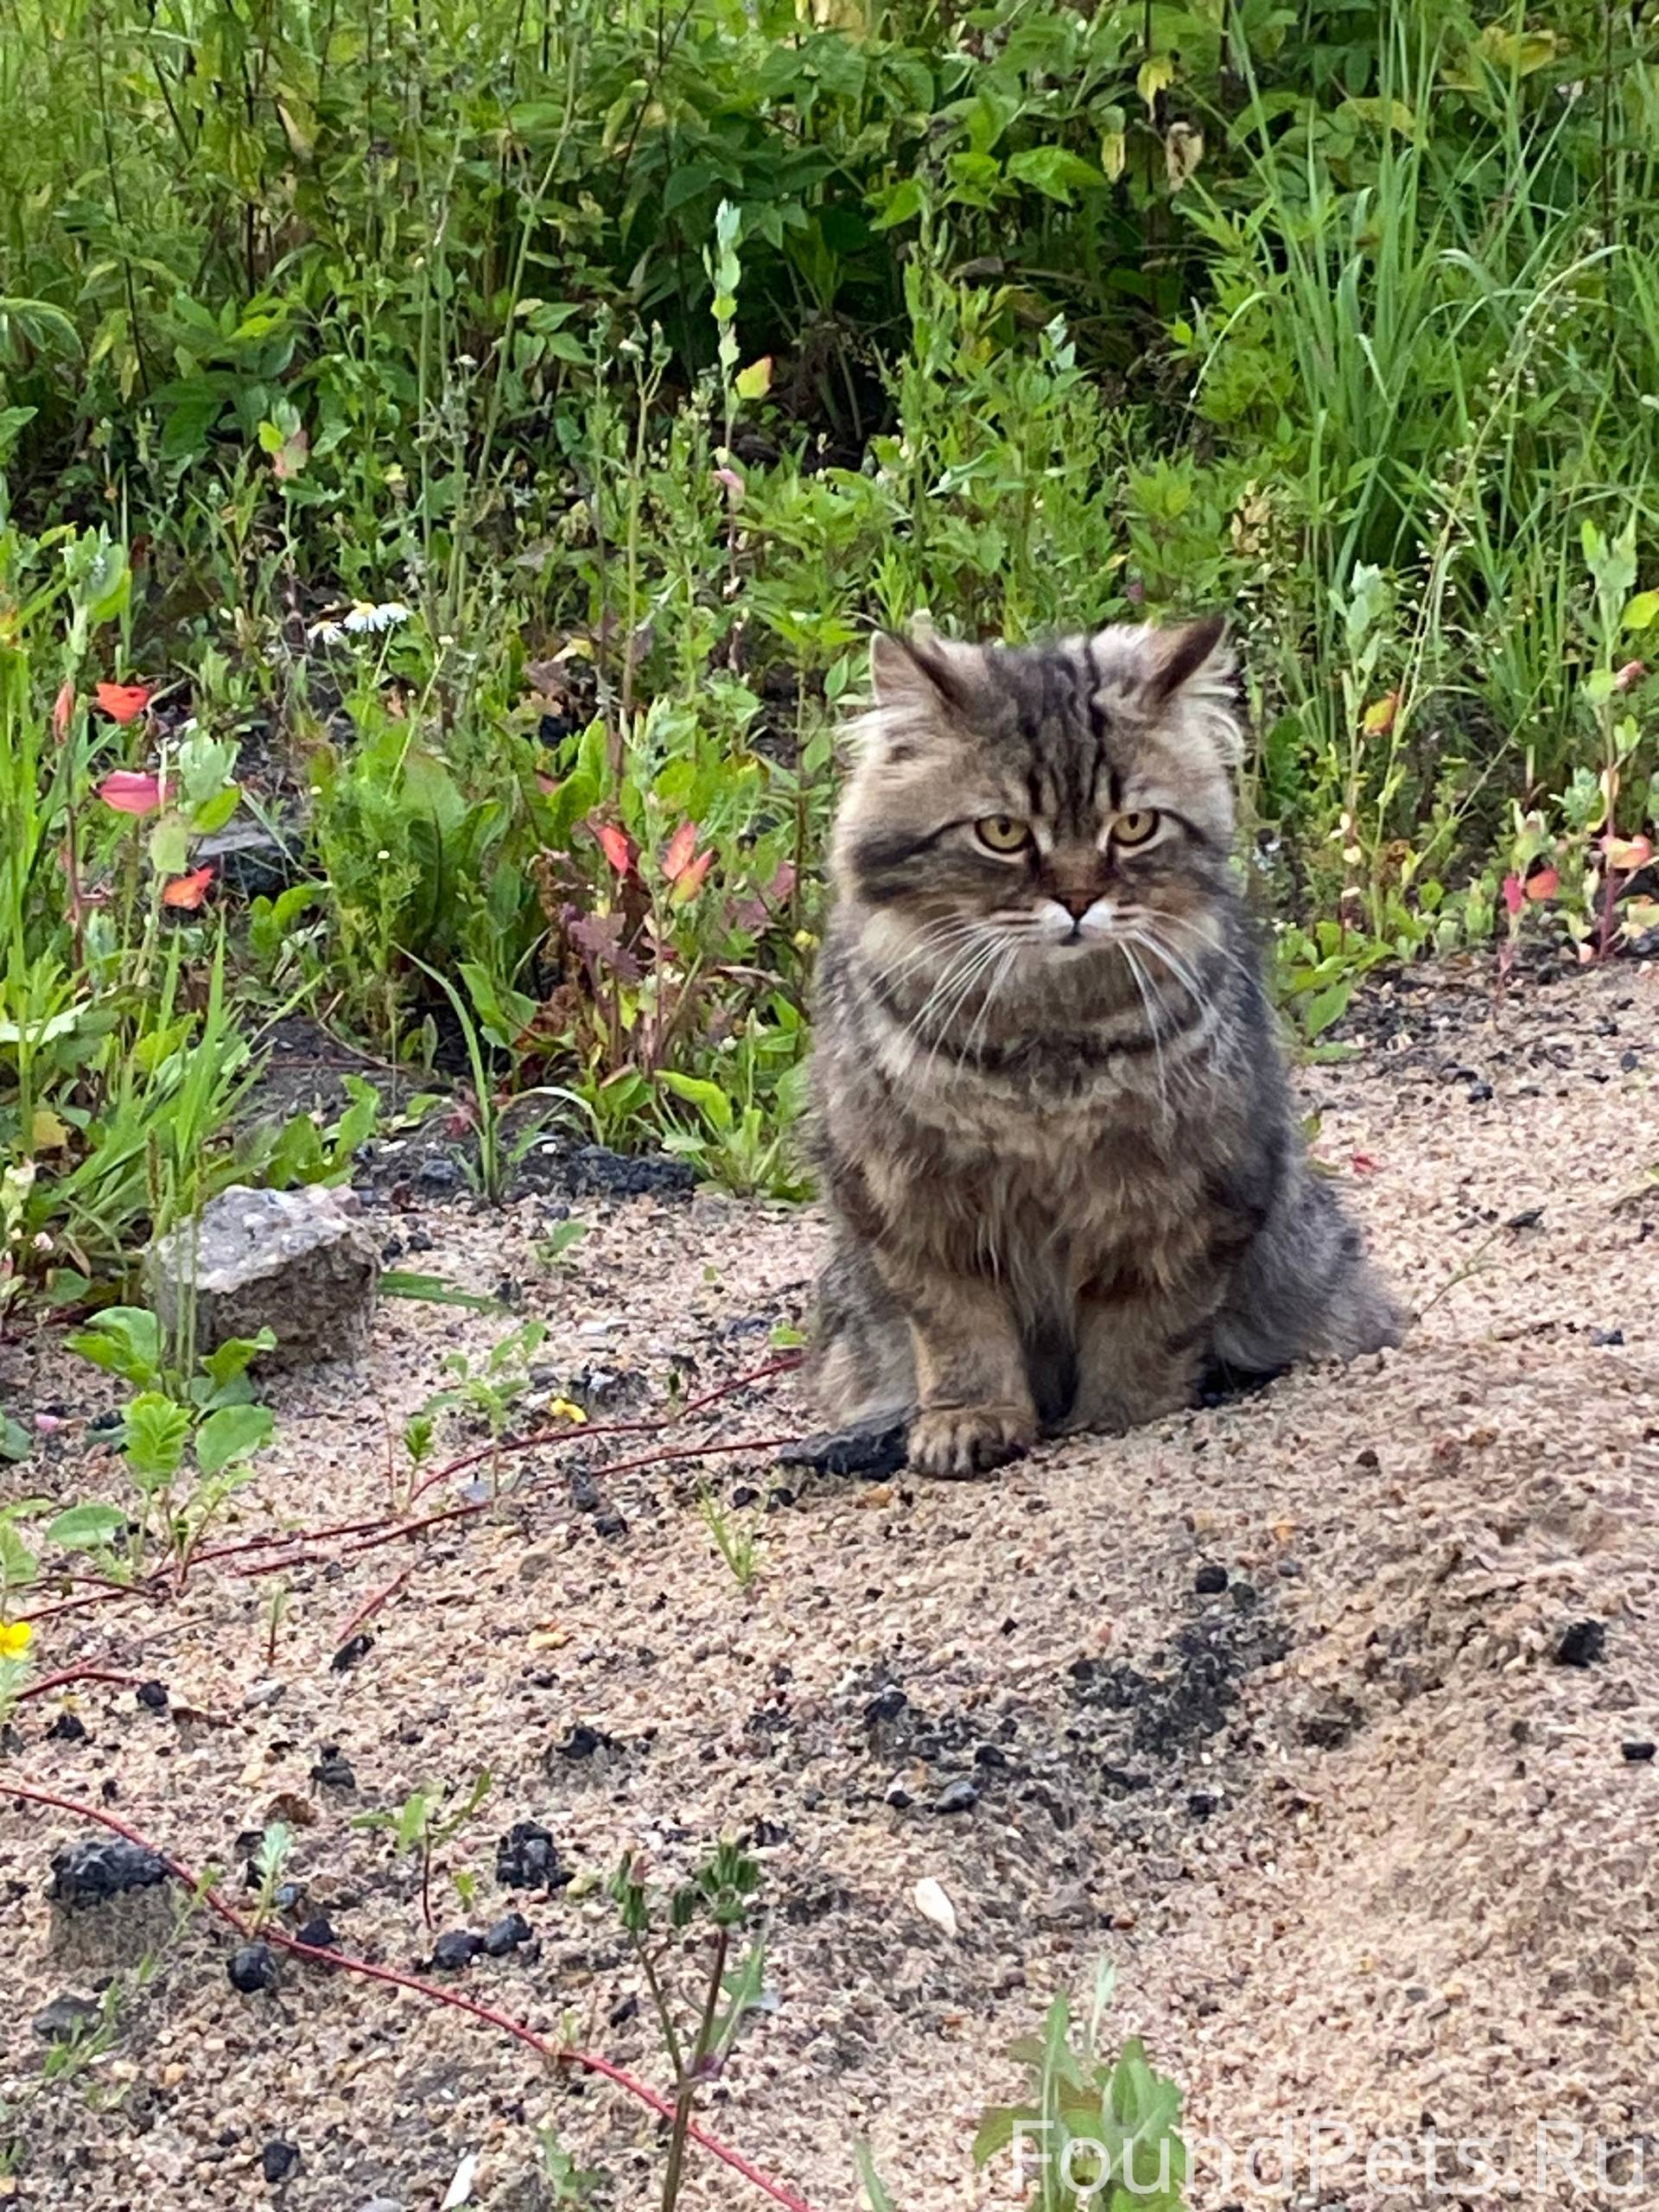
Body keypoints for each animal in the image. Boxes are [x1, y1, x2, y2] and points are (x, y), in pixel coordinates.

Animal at [814, 623, 1407, 1478]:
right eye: (1002, 834)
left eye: (1133, 827)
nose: (1078, 899)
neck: (1046, 1050)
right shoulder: (914, 1204)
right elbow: (960, 1332)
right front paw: (970, 1422)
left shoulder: (1185, 1192)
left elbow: (1144, 1328)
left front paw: (1117, 1418)